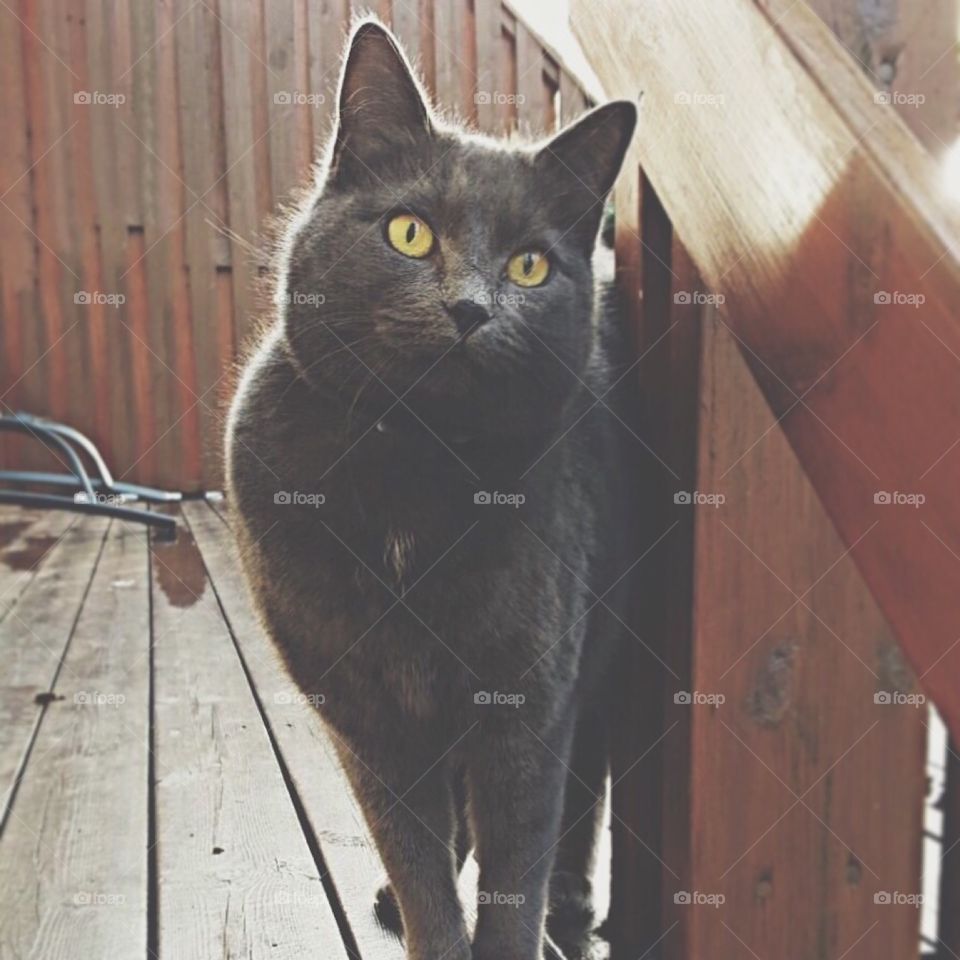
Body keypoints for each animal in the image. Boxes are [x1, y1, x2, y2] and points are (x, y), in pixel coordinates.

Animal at [227, 20, 636, 960]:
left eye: (529, 267)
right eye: (410, 234)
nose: (471, 307)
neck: (413, 474)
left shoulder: (530, 696)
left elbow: (514, 869)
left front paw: (520, 920)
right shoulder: (362, 707)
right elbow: (415, 856)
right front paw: (422, 909)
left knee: (584, 775)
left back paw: (571, 896)